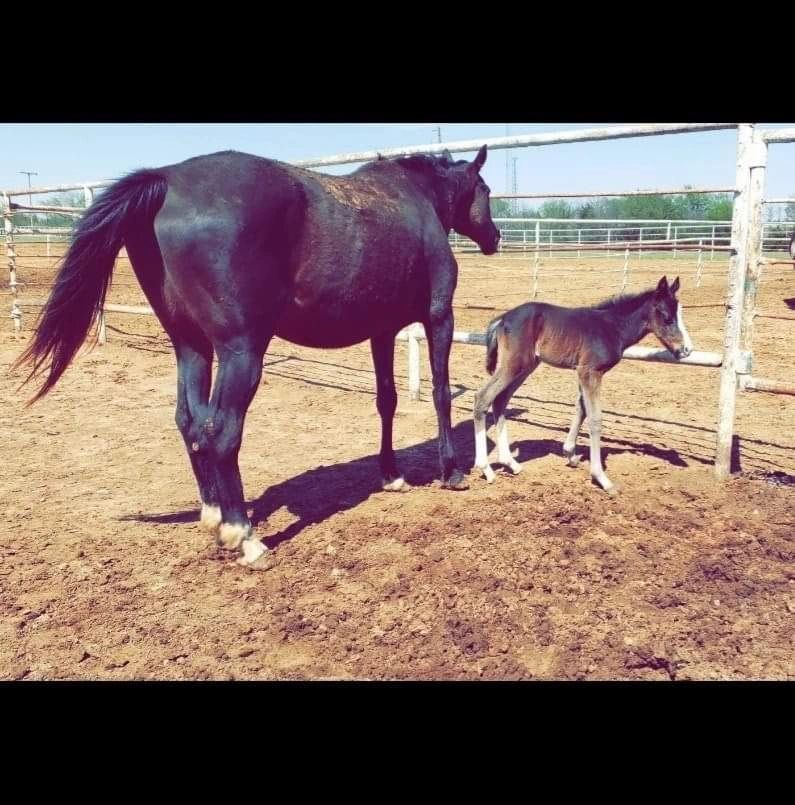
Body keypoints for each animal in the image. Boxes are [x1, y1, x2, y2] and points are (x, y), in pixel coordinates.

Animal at [14, 146, 500, 569]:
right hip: (241, 351)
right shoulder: (439, 317)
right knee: (222, 431)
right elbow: (440, 393)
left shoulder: (382, 332)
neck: (416, 200)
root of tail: (168, 180)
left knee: (190, 423)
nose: (494, 237)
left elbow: (387, 401)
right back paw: (244, 536)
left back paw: (213, 515)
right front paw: (451, 472)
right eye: (486, 190)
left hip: (191, 347)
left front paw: (392, 475)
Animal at [472, 276, 693, 496]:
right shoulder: (590, 372)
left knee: (500, 400)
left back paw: (511, 463)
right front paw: (602, 478)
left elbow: (581, 409)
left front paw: (570, 454)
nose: (687, 350)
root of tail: (503, 319)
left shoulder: (582, 372)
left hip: (527, 365)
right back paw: (486, 469)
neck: (612, 327)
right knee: (483, 397)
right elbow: (595, 419)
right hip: (515, 364)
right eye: (667, 318)